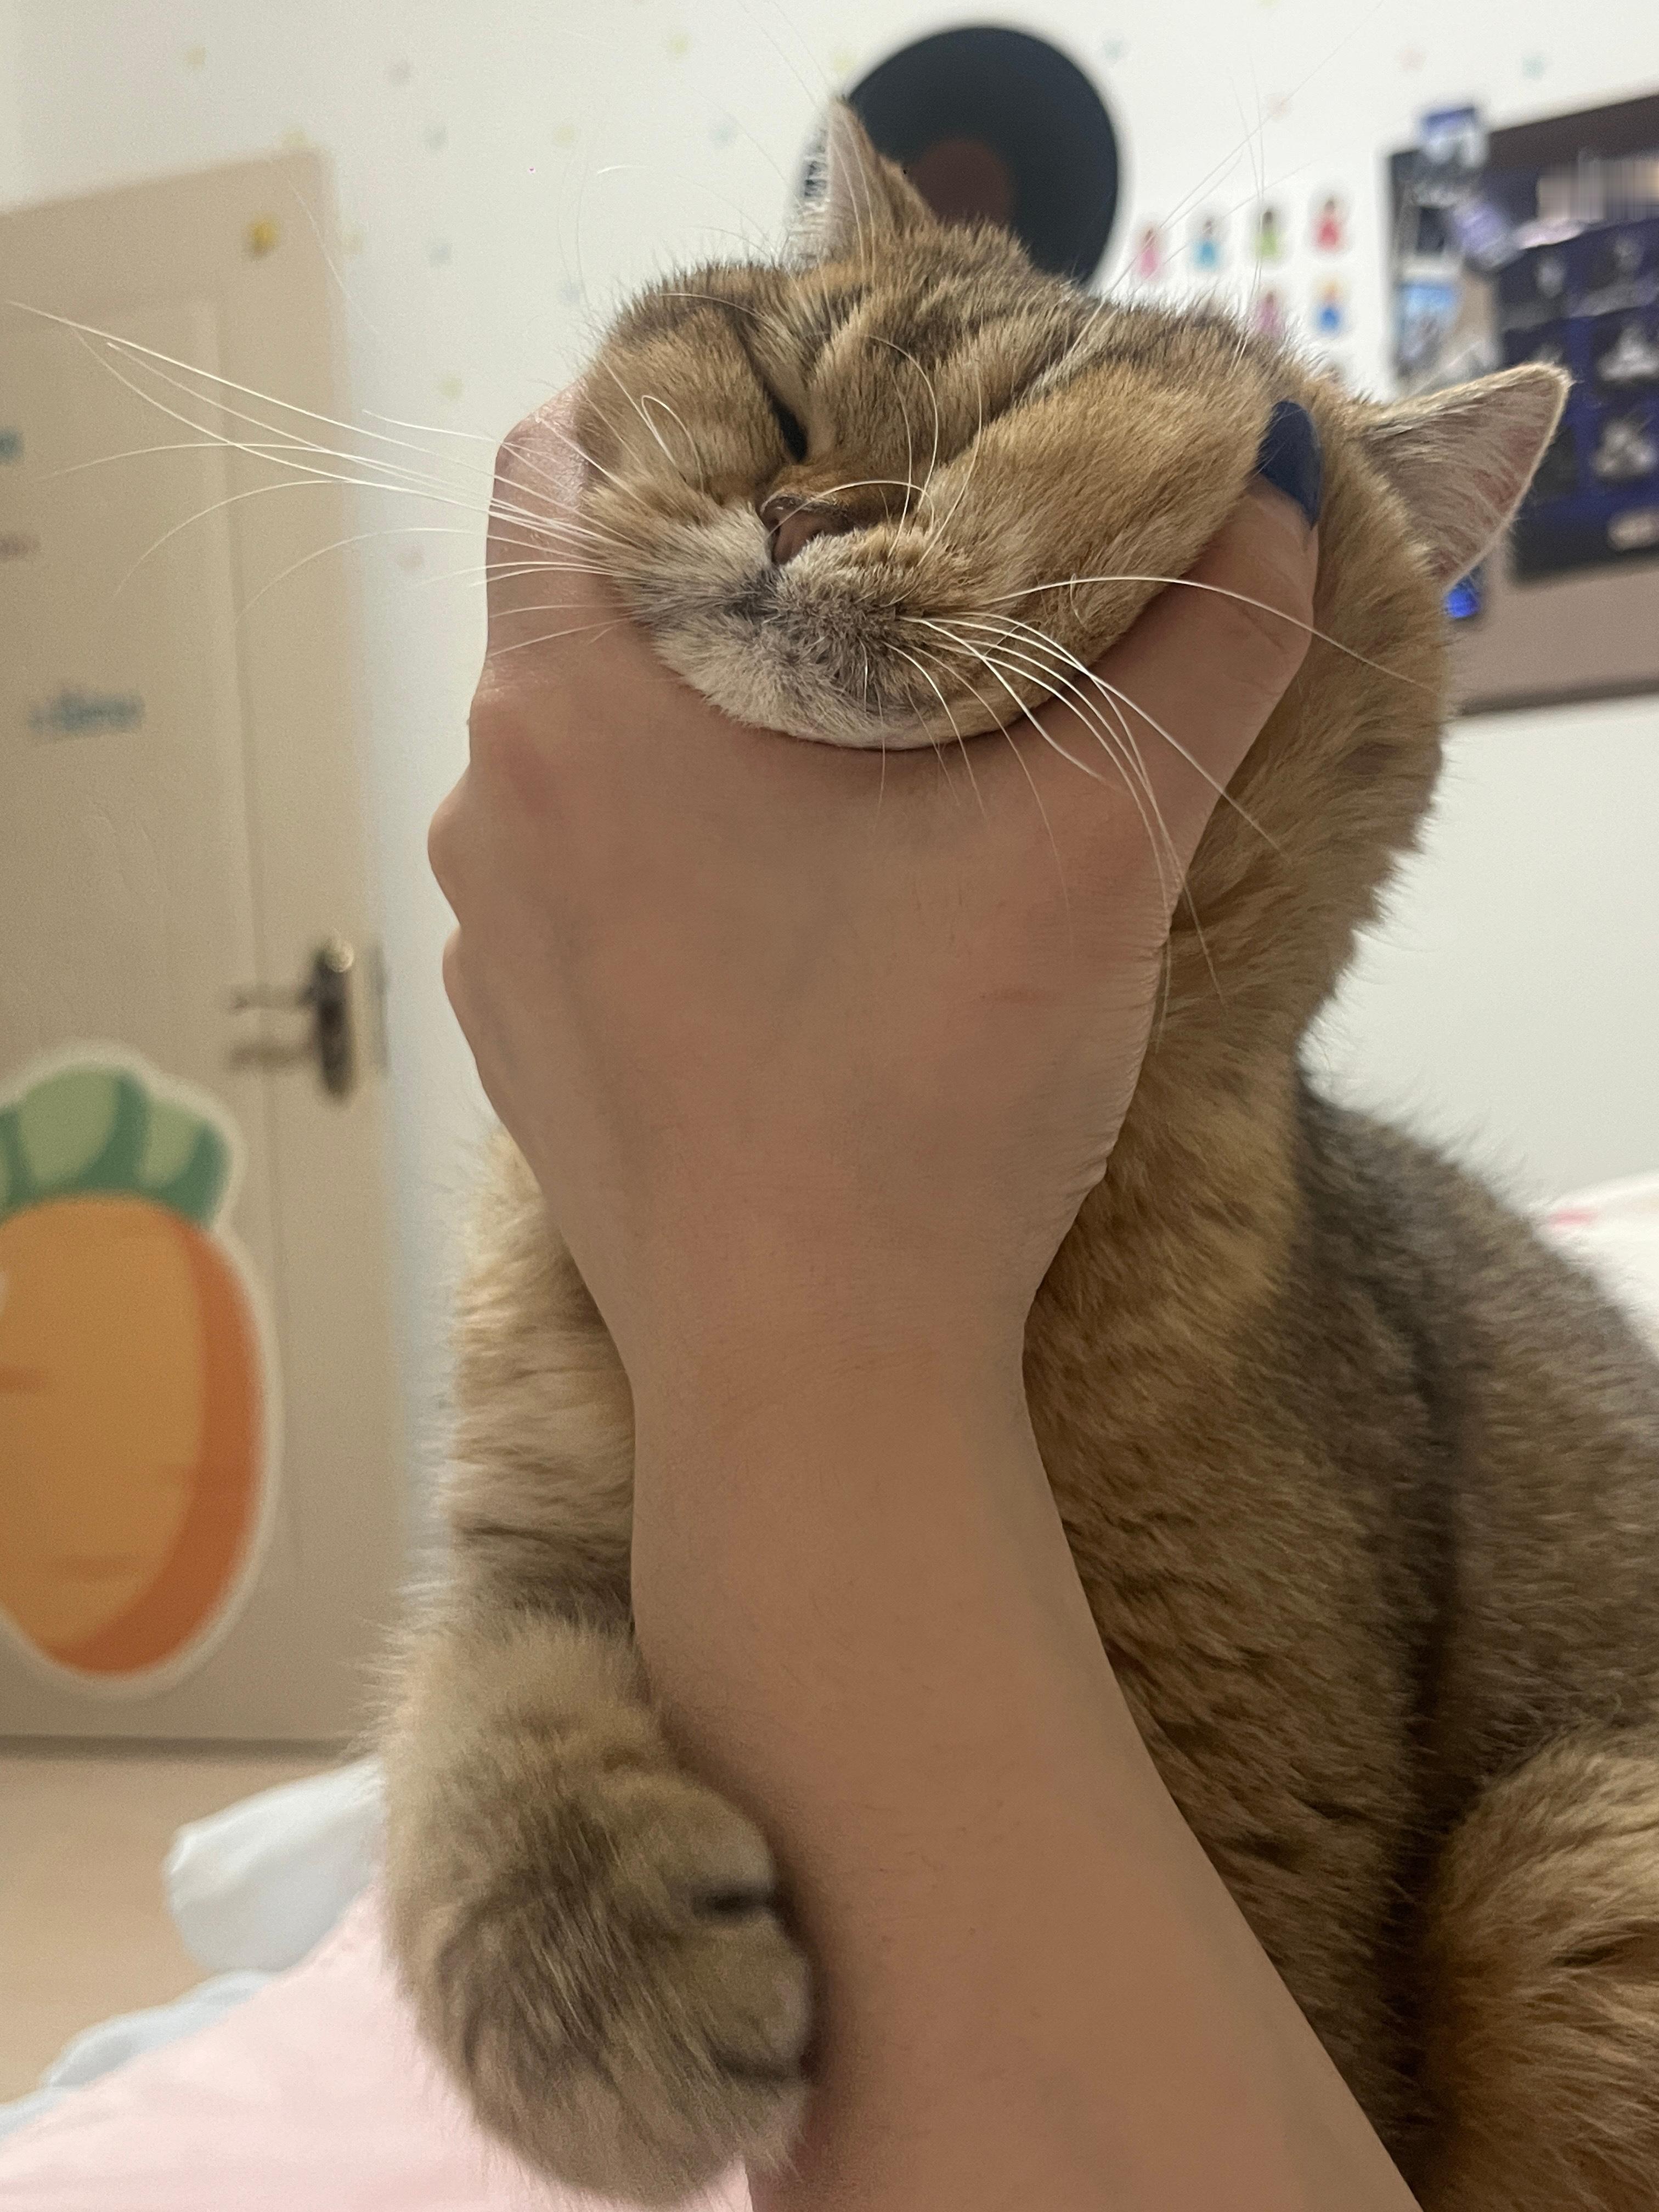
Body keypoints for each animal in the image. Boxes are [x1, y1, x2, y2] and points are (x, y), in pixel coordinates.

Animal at [383, 106, 1659, 2211]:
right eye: (777, 385)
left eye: (1024, 420)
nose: (802, 510)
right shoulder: (525, 1530)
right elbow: (460, 1727)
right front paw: (590, 1993)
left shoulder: (1252, 1816)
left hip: (1570, 1846)